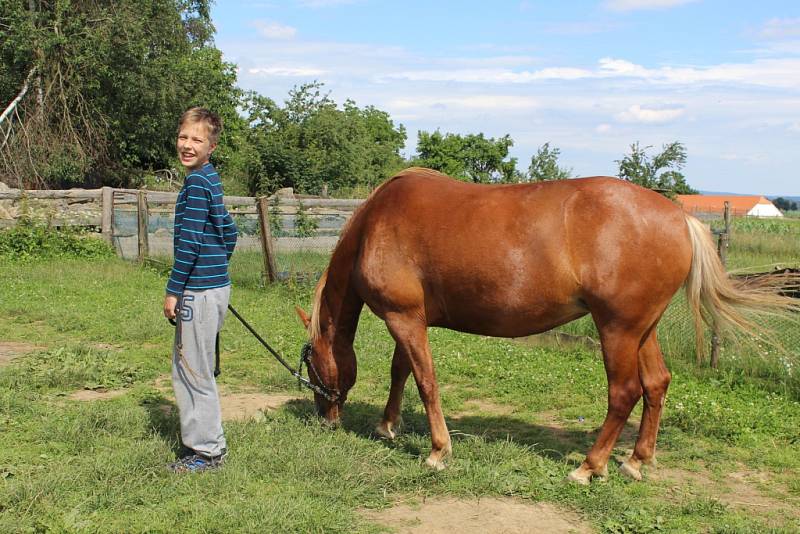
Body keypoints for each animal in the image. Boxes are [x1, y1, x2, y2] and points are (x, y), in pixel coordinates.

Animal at [292, 168, 792, 486]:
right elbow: (403, 373)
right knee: (656, 383)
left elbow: (426, 381)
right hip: (643, 330)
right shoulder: (412, 320)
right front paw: (387, 425)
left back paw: (590, 467)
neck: (375, 226)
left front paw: (437, 451)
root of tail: (679, 217)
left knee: (625, 393)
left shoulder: (403, 318)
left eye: (312, 364)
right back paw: (635, 461)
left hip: (618, 330)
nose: (325, 418)